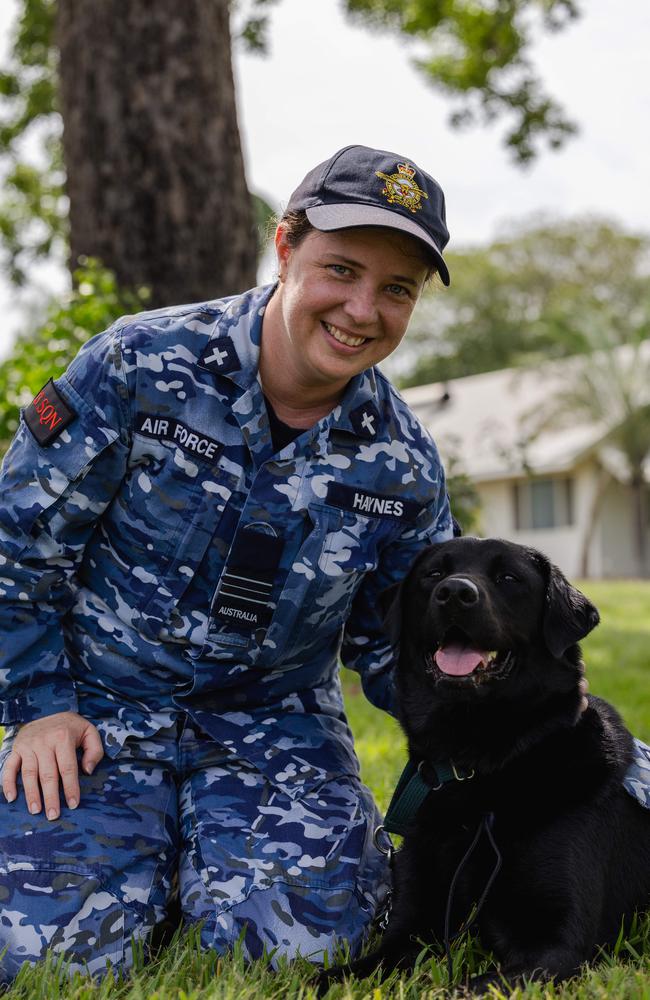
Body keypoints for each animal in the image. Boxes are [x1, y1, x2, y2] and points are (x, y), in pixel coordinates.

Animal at [320, 540, 648, 992]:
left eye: (508, 578)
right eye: (433, 574)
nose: (455, 593)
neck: (481, 764)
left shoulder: (557, 948)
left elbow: (462, 990)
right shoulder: (410, 926)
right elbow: (339, 975)